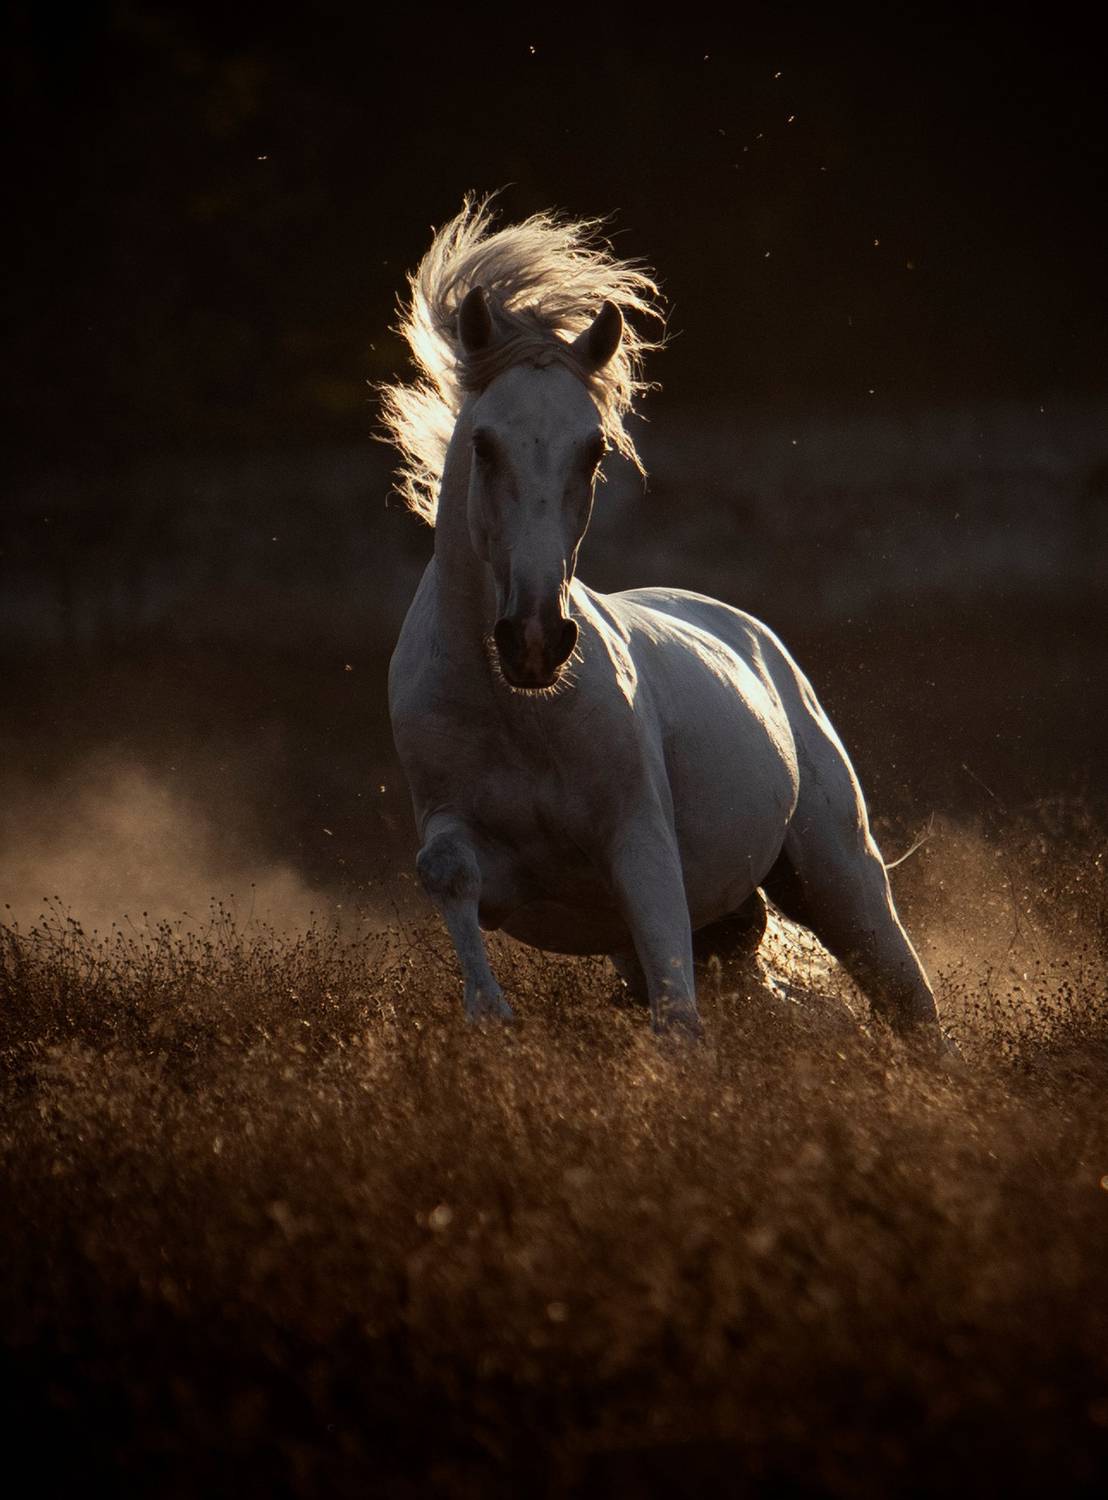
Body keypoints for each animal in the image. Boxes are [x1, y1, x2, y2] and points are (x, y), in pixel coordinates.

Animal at [383, 195, 945, 1043]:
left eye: (593, 450)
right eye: (483, 444)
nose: (537, 640)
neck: (518, 711)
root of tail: (757, 640)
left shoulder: (641, 848)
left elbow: (679, 1025)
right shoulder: (482, 850)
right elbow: (446, 874)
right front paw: (491, 1016)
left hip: (840, 880)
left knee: (913, 1010)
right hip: (733, 931)